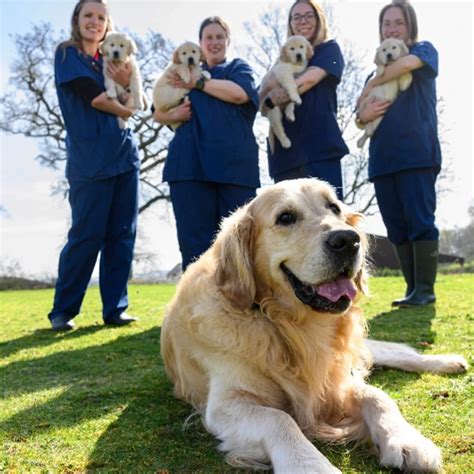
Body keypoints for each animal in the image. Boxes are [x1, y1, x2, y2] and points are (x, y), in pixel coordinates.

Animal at [161, 179, 468, 474]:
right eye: (285, 217)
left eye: (334, 208)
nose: (348, 240)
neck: (289, 325)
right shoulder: (226, 402)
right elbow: (279, 418)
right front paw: (309, 465)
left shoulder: (338, 379)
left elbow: (376, 395)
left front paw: (407, 440)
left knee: (401, 355)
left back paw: (448, 361)